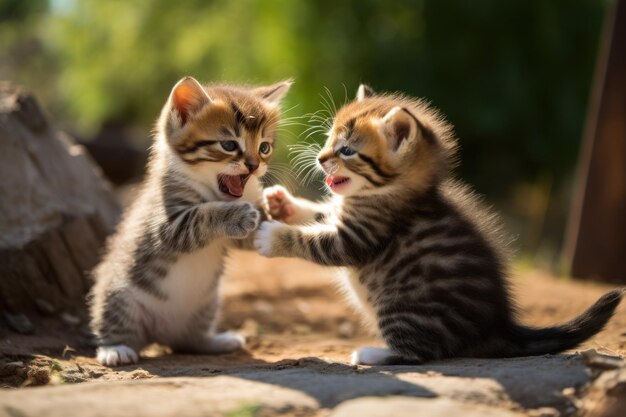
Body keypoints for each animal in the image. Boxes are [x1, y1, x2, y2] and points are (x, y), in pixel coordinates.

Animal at [89, 76, 292, 366]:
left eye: (264, 147)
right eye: (229, 145)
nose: (254, 166)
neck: (211, 191)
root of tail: (161, 332)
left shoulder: (232, 239)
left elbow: (249, 237)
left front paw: (281, 205)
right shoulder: (165, 225)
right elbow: (200, 215)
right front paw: (239, 214)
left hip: (206, 306)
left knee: (188, 341)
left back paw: (215, 342)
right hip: (120, 296)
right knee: (115, 322)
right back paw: (115, 349)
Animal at [255, 84, 624, 364]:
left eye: (346, 150)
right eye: (329, 140)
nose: (320, 158)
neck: (388, 193)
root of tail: (497, 326)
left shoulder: (360, 236)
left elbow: (316, 242)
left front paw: (272, 236)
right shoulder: (342, 215)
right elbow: (321, 214)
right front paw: (282, 204)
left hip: (405, 309)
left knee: (423, 353)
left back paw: (373, 353)